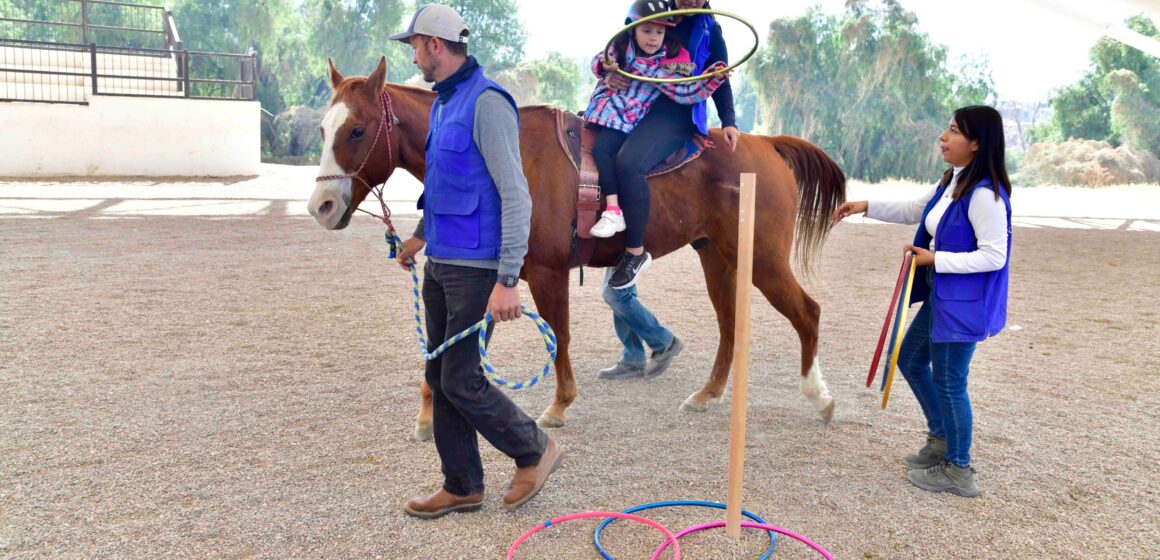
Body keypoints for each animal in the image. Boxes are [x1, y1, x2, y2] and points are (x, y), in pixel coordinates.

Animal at [313, 60, 849, 438]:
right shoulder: (489, 277)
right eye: (323, 129)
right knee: (730, 324)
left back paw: (819, 397)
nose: (321, 205)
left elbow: (559, 336)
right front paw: (427, 417)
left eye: (357, 129)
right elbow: (449, 348)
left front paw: (558, 405)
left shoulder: (546, 272)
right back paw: (707, 394)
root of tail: (765, 143)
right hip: (717, 256)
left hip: (764, 260)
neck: (506, 156)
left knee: (808, 312)